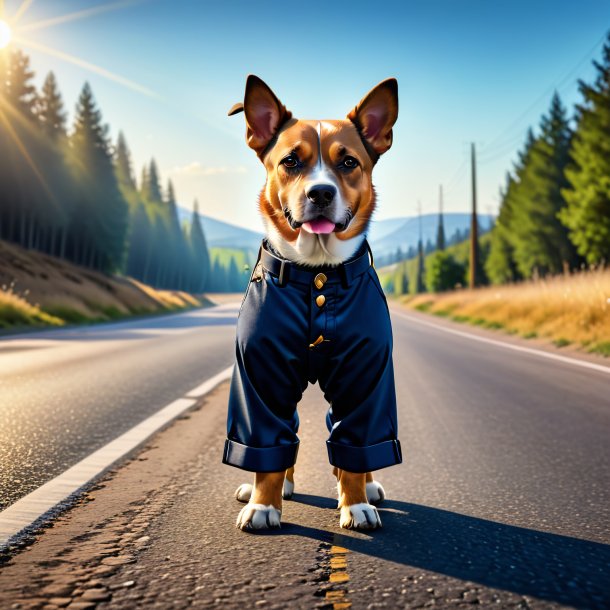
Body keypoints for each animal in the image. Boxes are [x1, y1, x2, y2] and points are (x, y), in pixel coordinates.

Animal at [222, 76, 400, 528]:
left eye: (349, 162)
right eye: (290, 161)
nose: (320, 193)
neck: (318, 273)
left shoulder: (367, 374)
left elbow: (357, 440)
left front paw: (355, 503)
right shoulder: (259, 373)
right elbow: (267, 440)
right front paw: (263, 505)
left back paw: (367, 487)